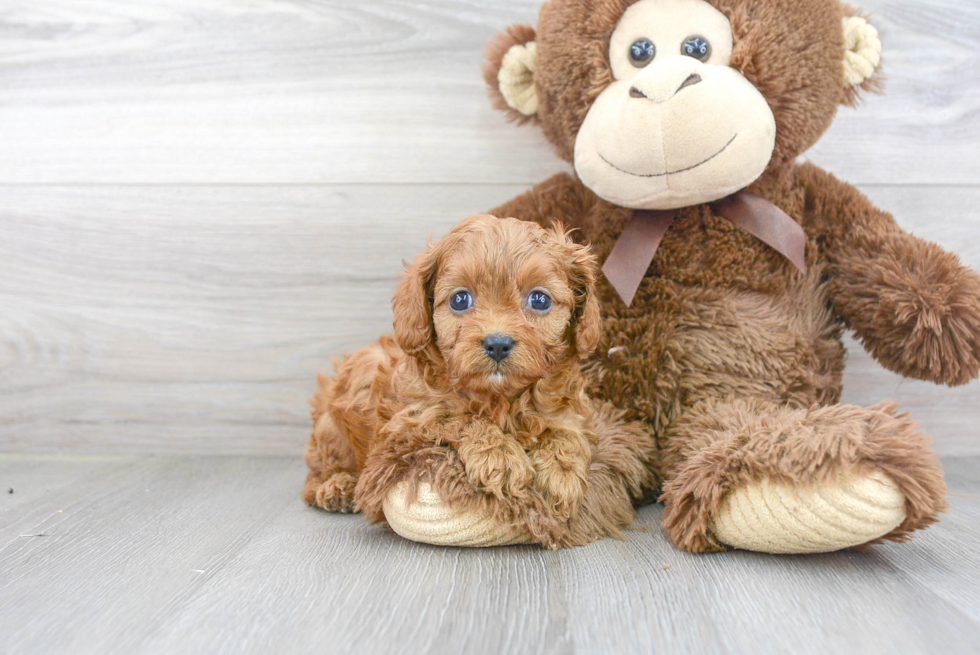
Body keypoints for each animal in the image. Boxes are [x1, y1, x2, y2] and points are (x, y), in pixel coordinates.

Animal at [302, 215, 656, 548]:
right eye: (460, 300)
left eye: (540, 300)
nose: (497, 343)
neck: (501, 397)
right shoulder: (409, 417)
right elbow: (458, 415)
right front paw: (500, 455)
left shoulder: (568, 405)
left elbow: (566, 428)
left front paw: (561, 472)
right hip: (333, 430)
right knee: (314, 473)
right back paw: (336, 487)